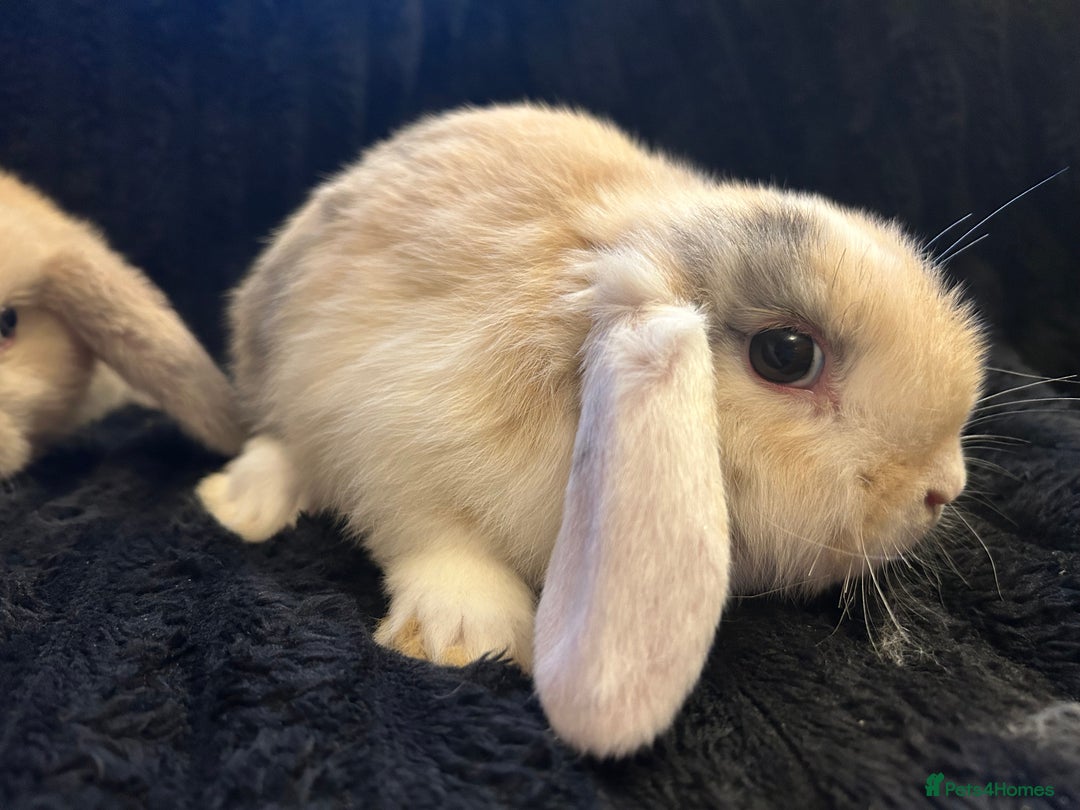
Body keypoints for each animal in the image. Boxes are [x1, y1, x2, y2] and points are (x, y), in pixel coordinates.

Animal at [197, 104, 986, 757]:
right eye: (787, 355)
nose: (941, 489)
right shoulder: (390, 433)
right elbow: (434, 536)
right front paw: (464, 640)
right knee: (280, 441)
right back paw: (242, 507)